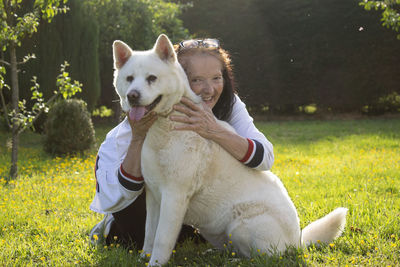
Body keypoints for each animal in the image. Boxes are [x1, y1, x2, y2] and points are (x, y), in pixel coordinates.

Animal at [112, 35, 346, 266]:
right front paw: (143, 258)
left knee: (266, 257)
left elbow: (161, 239)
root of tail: (297, 241)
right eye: (129, 78)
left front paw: (155, 263)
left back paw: (235, 260)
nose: (133, 96)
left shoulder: (174, 196)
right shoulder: (153, 196)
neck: (165, 125)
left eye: (152, 78)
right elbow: (149, 235)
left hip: (240, 226)